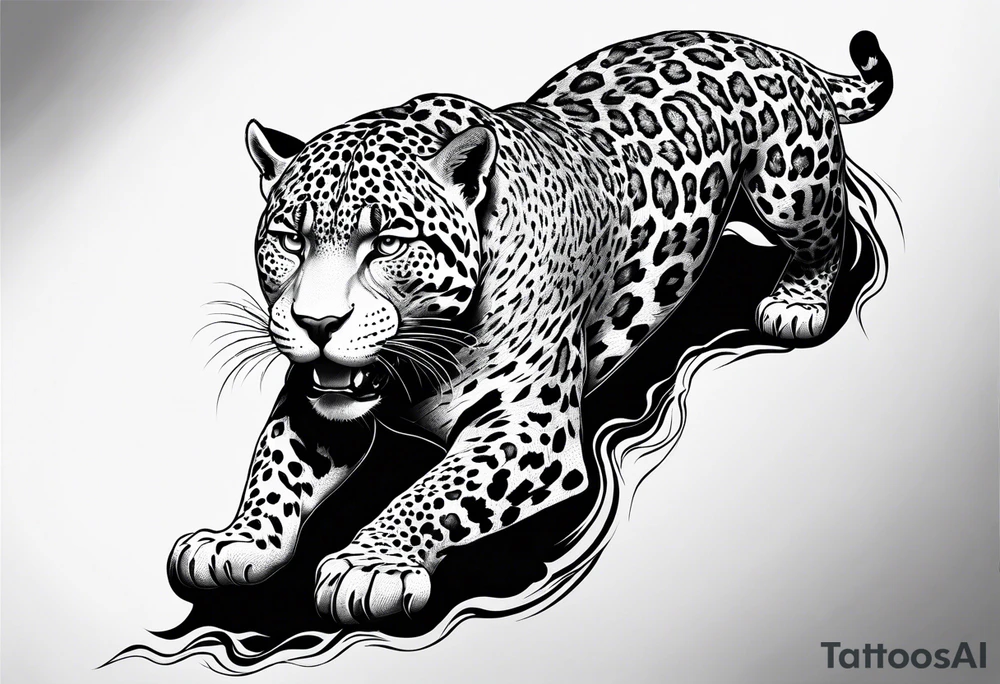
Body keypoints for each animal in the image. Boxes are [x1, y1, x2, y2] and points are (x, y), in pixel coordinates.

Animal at [169, 29, 893, 625]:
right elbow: (275, 466)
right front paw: (236, 540)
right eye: (290, 239)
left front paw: (371, 564)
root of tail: (771, 47)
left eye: (389, 242)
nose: (317, 322)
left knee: (835, 228)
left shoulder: (530, 428)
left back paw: (797, 301)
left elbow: (434, 491)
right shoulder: (313, 397)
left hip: (791, 187)